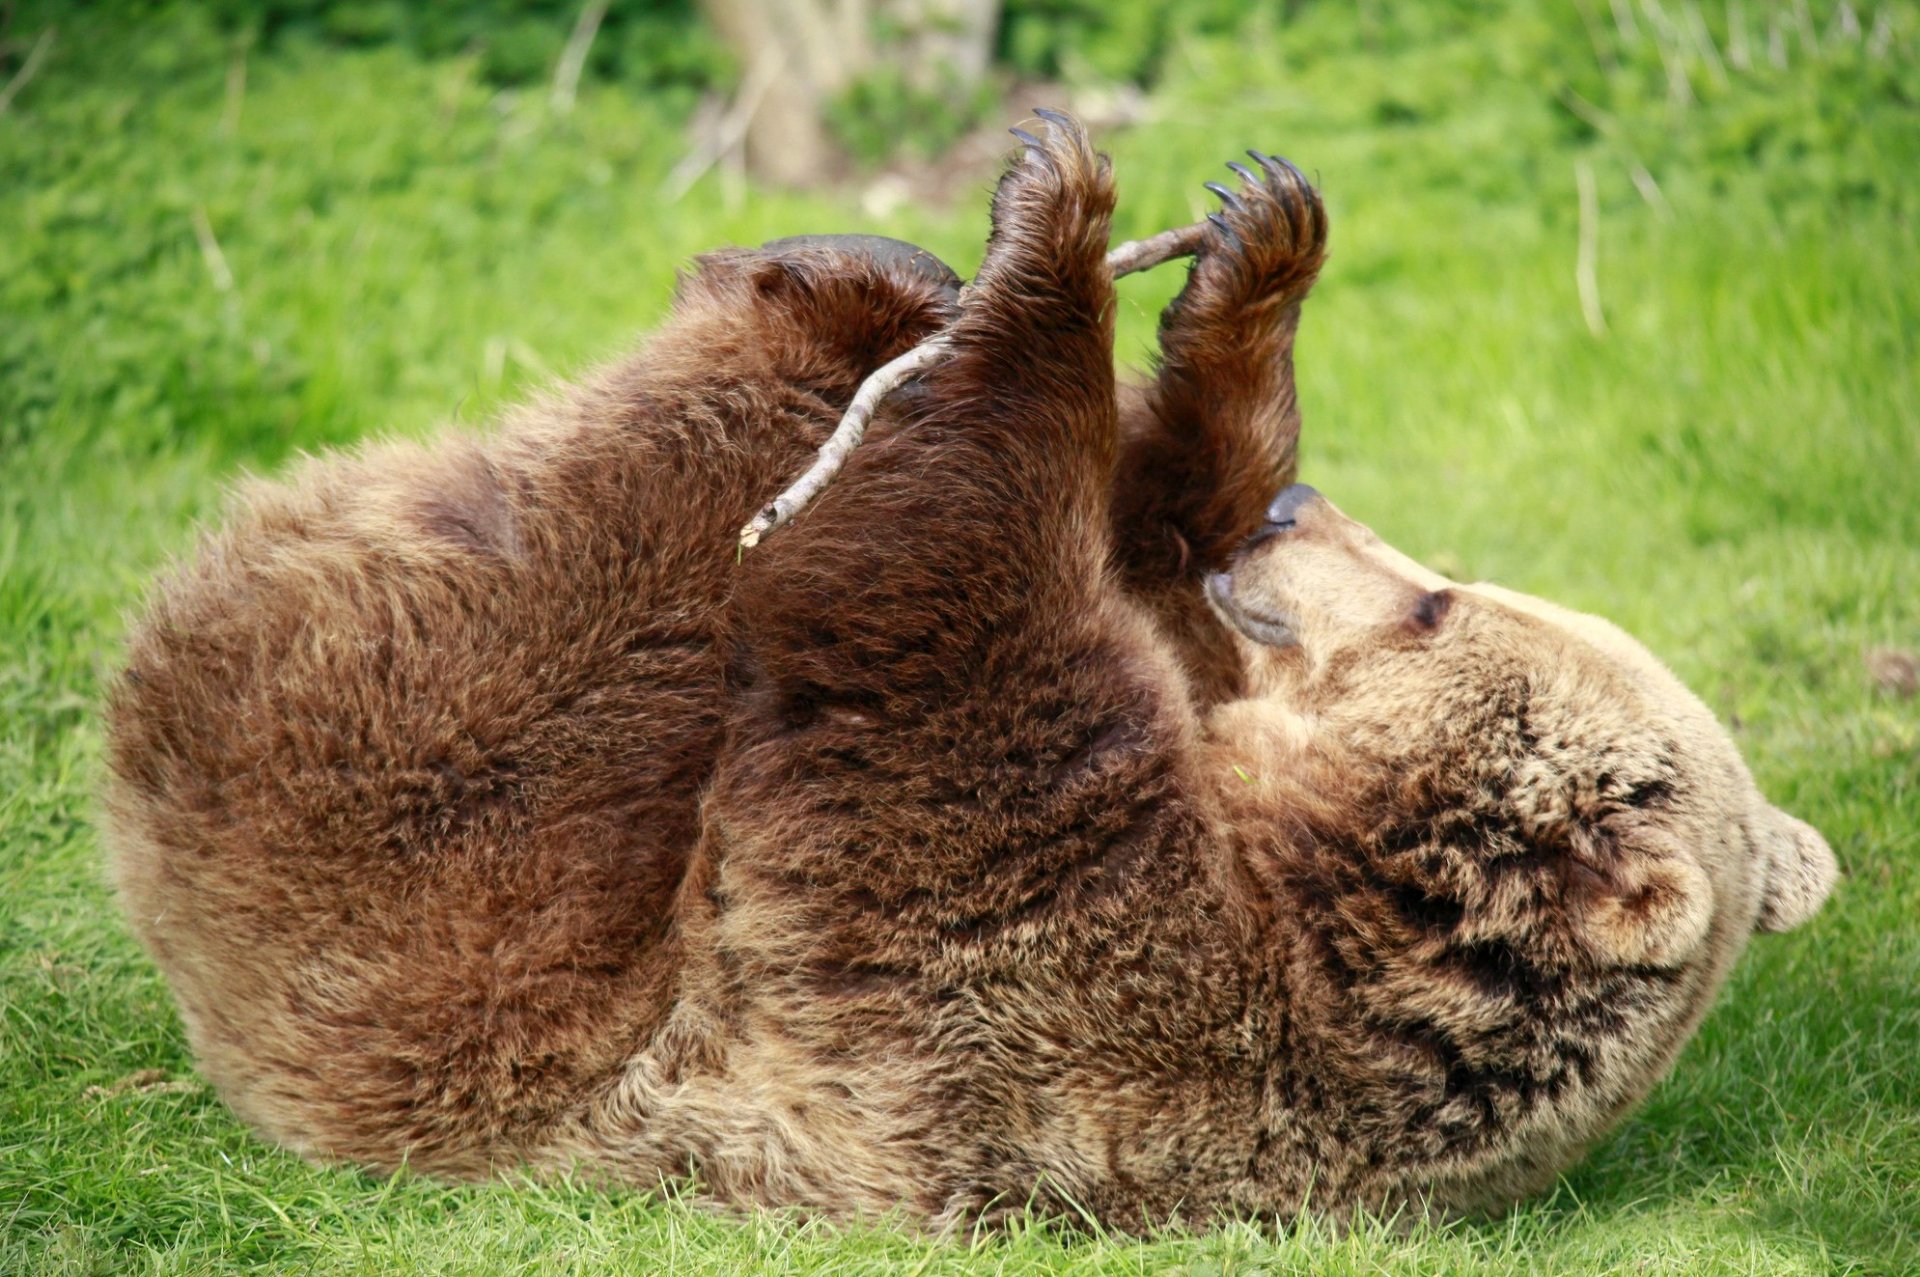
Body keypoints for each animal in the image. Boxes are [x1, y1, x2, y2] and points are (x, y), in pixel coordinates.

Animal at [101, 114, 1827, 1228]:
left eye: (1436, 605)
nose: (1295, 517)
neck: (1309, 875)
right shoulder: (1186, 726)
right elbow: (1136, 547)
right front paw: (1250, 257)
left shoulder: (1040, 967)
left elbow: (930, 613)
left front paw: (1057, 232)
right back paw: (866, 266)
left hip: (430, 869)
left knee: (614, 571)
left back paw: (827, 289)